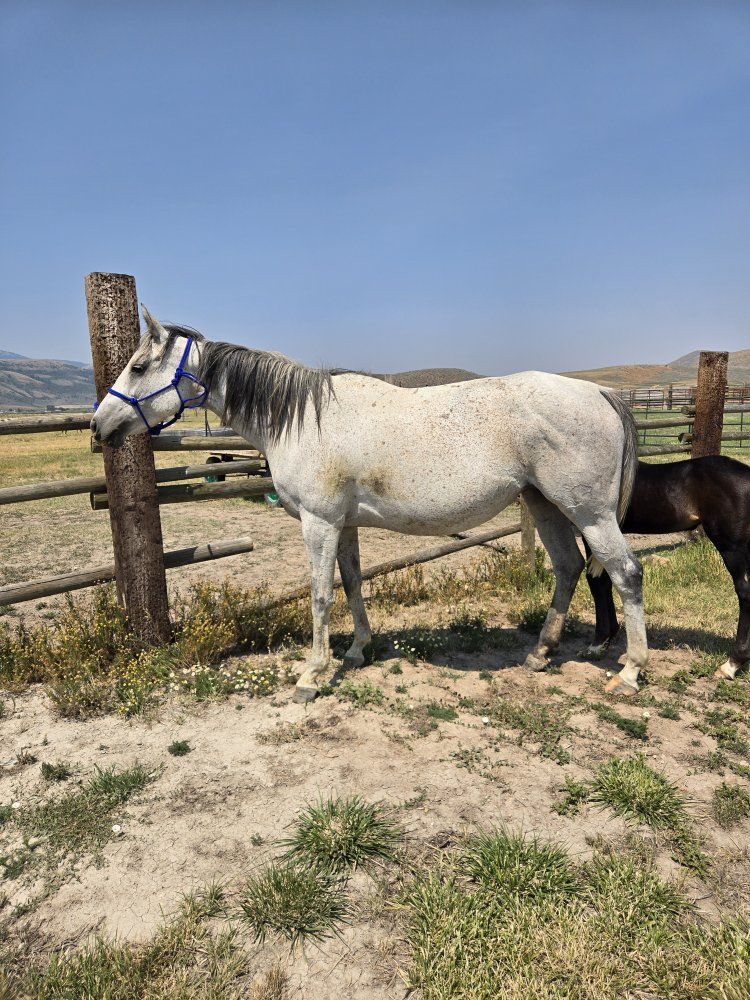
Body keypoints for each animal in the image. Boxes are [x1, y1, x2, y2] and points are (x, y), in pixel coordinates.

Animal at [91, 306, 648, 702]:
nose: (99, 426)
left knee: (625, 573)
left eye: (138, 366)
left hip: (590, 514)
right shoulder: (345, 524)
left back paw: (630, 672)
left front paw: (311, 675)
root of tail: (600, 393)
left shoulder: (318, 523)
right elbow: (353, 582)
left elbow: (320, 595)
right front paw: (359, 650)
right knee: (568, 568)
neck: (301, 419)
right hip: (545, 505)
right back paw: (539, 653)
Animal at [584, 455, 750, 680]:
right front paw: (609, 636)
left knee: (744, 593)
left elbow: (597, 582)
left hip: (731, 546)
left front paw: (597, 643)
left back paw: (731, 665)